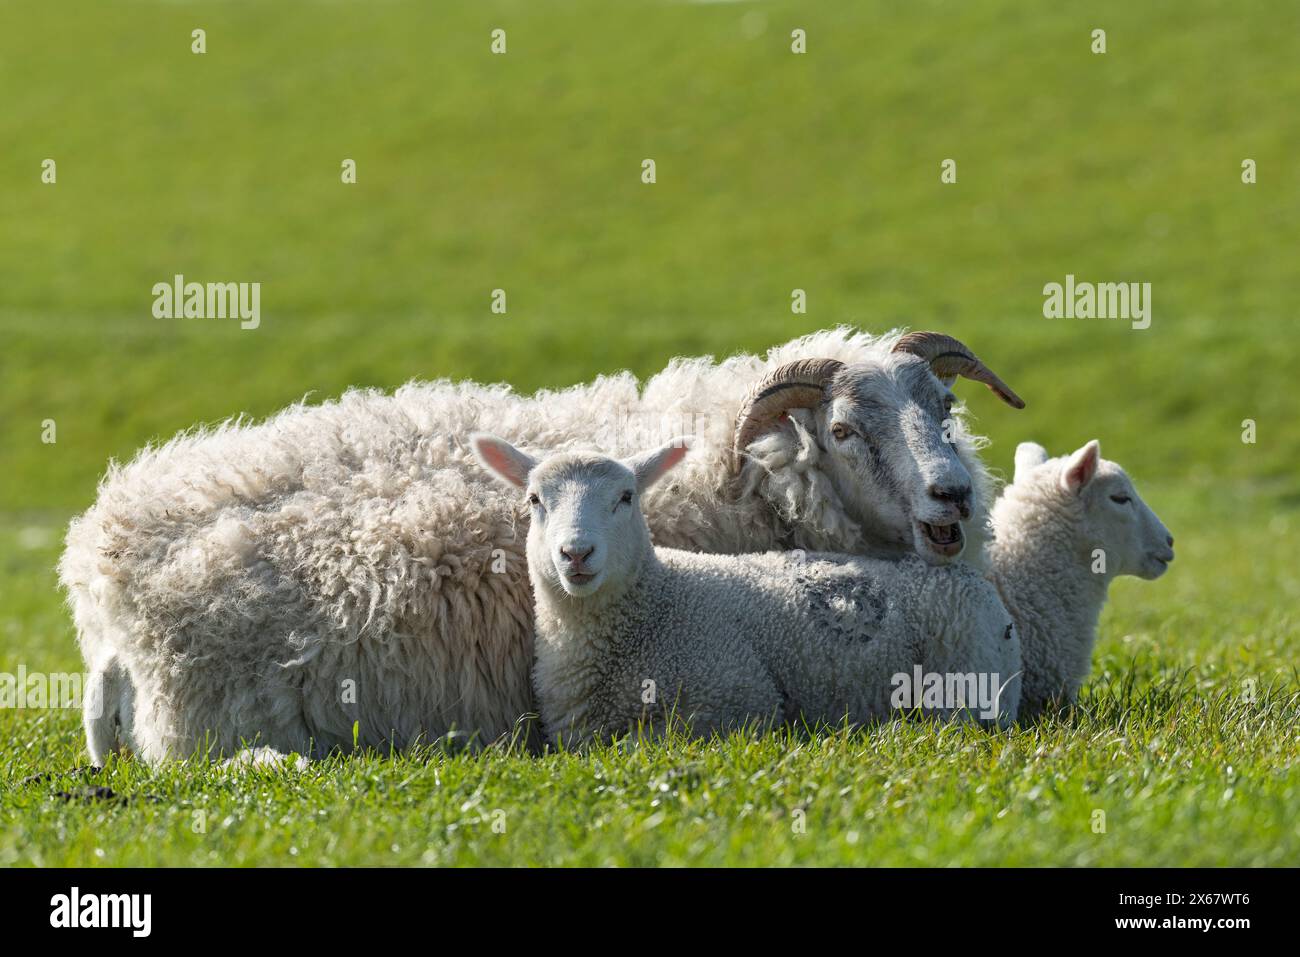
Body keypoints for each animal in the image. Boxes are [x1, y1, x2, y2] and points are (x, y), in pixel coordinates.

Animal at [473, 434, 1019, 748]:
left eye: (625, 497)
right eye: (534, 499)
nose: (576, 554)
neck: (655, 605)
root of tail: (967, 575)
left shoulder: (736, 703)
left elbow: (641, 745)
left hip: (969, 689)